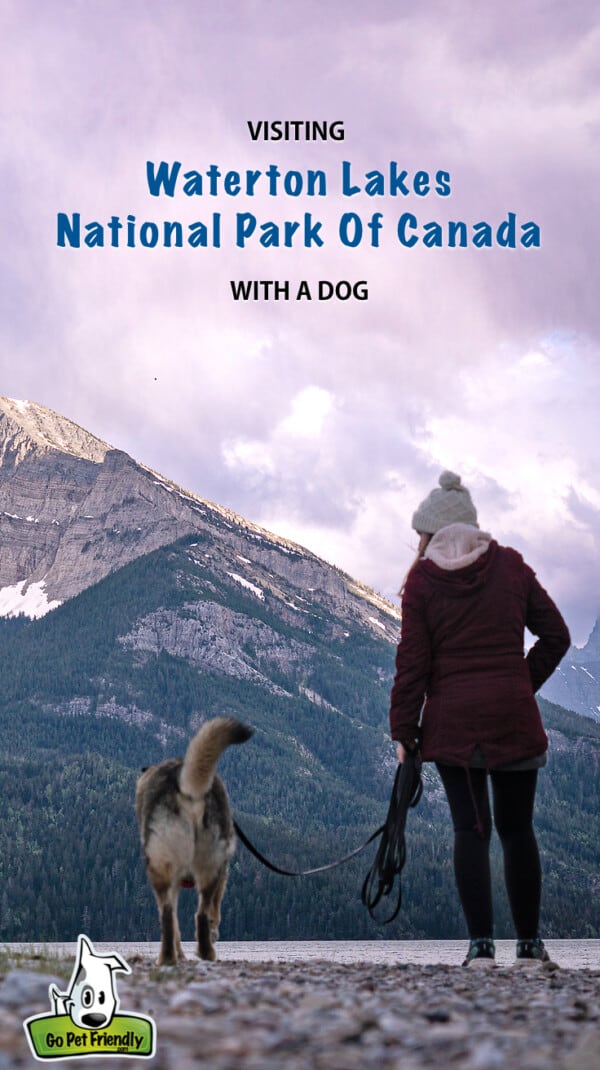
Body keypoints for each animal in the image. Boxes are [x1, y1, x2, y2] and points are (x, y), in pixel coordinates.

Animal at [134, 719, 251, 963]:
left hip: (167, 865)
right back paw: (203, 953)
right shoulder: (222, 873)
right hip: (208, 864)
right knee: (199, 913)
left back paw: (171, 957)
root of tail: (186, 787)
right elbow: (215, 910)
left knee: (171, 916)